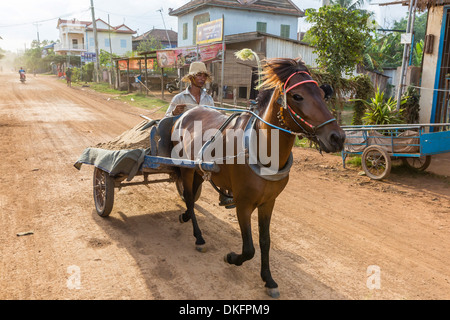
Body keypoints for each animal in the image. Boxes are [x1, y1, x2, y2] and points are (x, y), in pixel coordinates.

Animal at [169, 57, 344, 298]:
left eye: (321, 93)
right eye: (297, 96)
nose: (338, 137)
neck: (261, 147)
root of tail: (185, 114)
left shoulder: (268, 202)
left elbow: (265, 241)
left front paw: (268, 279)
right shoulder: (243, 203)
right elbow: (249, 248)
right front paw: (232, 258)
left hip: (197, 170)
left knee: (191, 198)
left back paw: (186, 216)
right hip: (185, 169)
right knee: (188, 197)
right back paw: (198, 236)